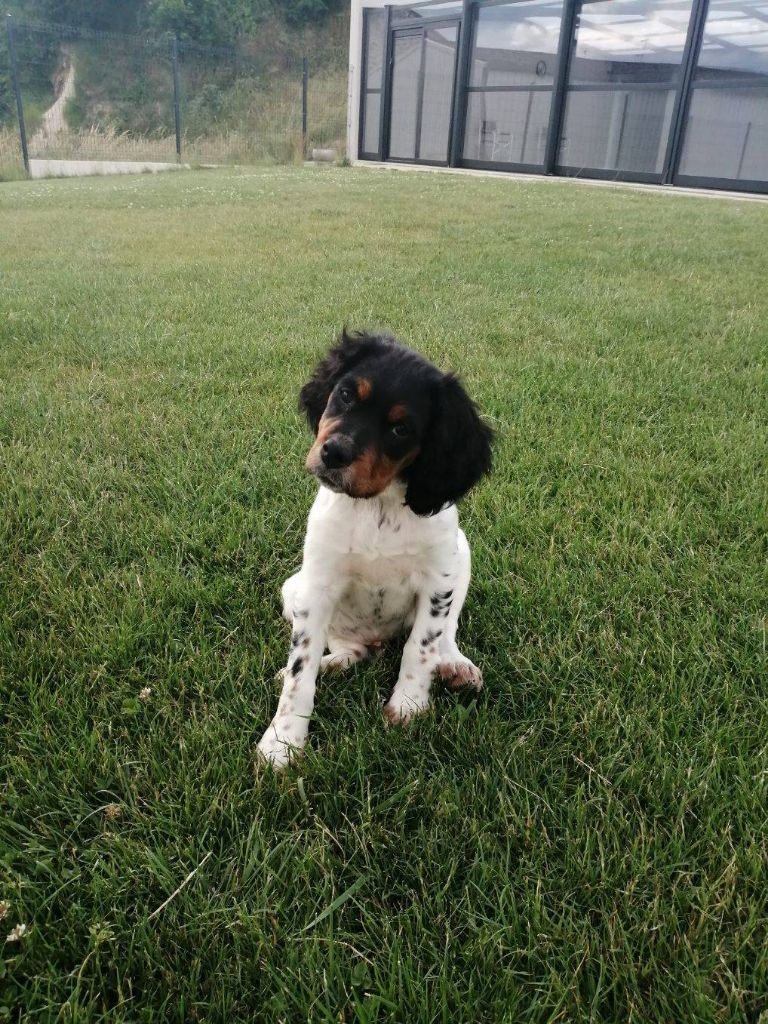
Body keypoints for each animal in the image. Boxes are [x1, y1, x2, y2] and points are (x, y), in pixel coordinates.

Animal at [259, 329, 493, 770]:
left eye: (401, 429)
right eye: (346, 395)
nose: (334, 453)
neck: (377, 505)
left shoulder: (437, 580)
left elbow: (421, 647)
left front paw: (408, 705)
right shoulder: (317, 585)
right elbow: (301, 670)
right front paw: (282, 742)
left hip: (462, 555)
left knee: (446, 633)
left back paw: (455, 664)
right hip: (293, 589)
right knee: (350, 651)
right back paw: (332, 663)